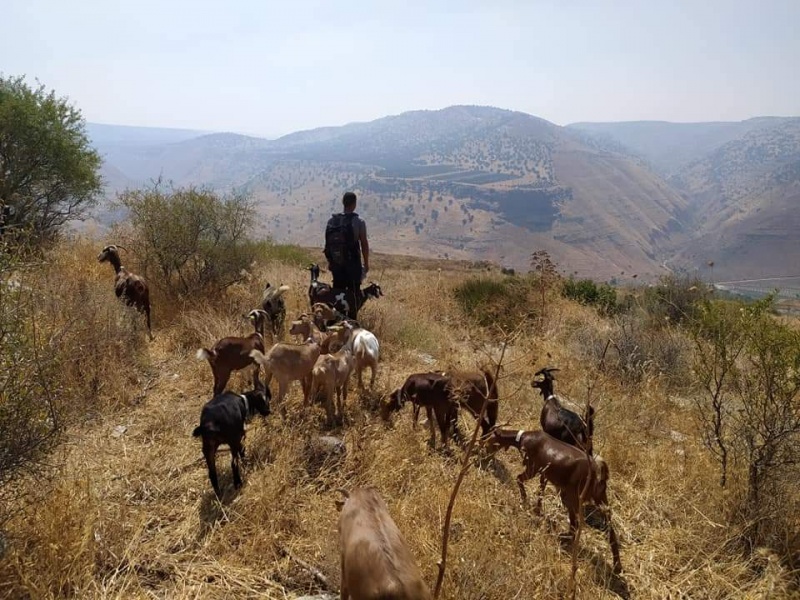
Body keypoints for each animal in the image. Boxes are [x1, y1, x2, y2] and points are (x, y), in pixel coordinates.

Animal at [484, 428, 620, 576]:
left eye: (490, 438)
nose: (483, 446)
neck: (522, 438)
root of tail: (599, 471)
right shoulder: (544, 474)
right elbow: (540, 492)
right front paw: (537, 509)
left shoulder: (532, 468)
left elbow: (519, 479)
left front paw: (524, 499)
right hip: (600, 498)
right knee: (610, 529)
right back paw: (617, 565)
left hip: (571, 495)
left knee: (577, 523)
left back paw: (565, 538)